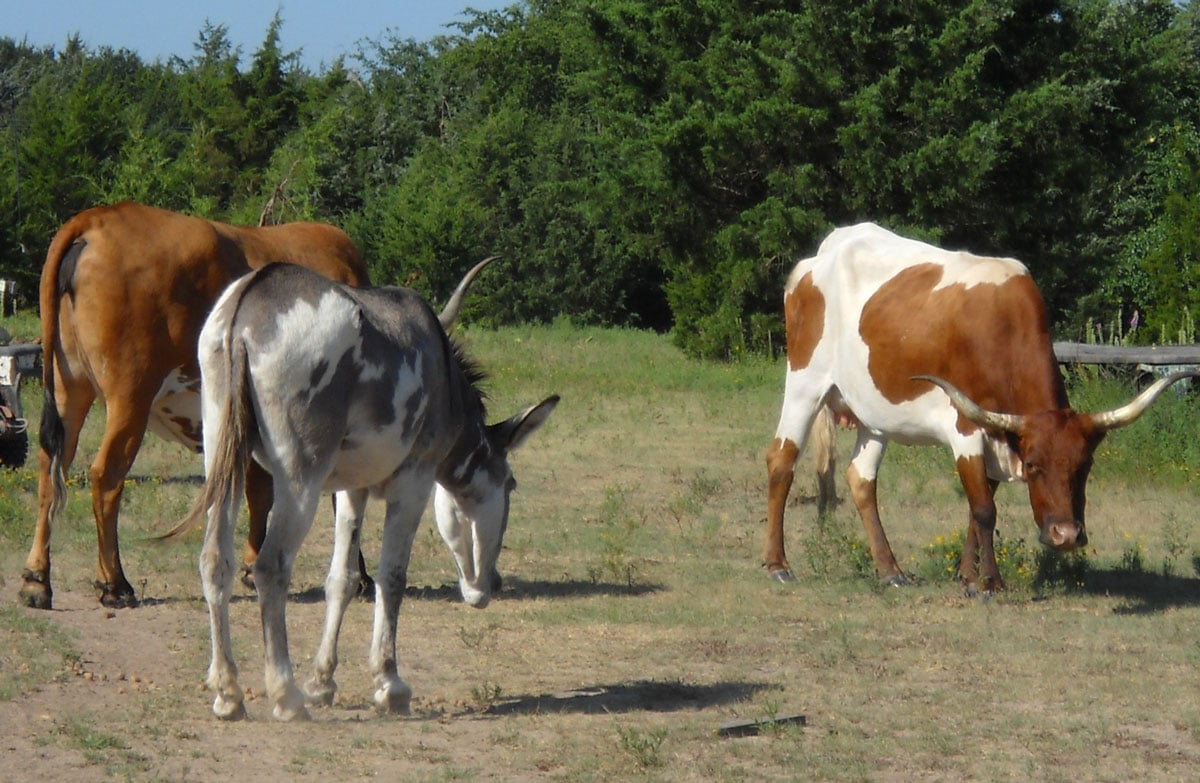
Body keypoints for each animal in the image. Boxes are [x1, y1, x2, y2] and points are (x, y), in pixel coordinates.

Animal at [21, 199, 369, 607]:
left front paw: (252, 565)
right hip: (130, 397)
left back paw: (36, 579)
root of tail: (99, 216)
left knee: (51, 467)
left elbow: (259, 490)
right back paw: (114, 583)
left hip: (69, 387)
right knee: (105, 476)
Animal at [763, 219, 1195, 593]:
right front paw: (988, 582)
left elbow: (976, 507)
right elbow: (985, 509)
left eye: (1084, 466)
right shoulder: (966, 428)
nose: (1067, 536)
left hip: (874, 412)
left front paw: (967, 576)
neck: (1002, 329)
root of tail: (821, 255)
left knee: (861, 478)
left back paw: (890, 570)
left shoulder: (1000, 434)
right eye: (1034, 466)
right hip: (804, 383)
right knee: (782, 459)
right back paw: (777, 564)